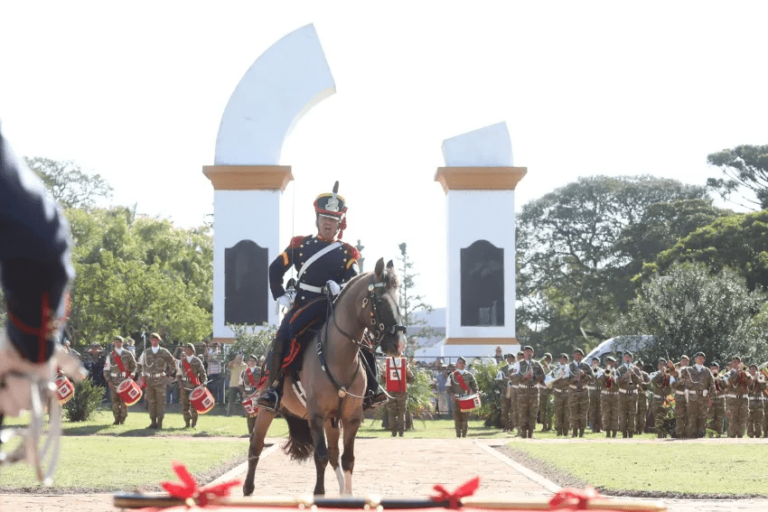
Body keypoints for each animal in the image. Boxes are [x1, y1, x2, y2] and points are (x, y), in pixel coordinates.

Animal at [243, 258, 404, 498]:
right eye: (381, 301)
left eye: (398, 299)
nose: (398, 344)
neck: (338, 357)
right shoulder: (316, 415)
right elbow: (320, 456)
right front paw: (319, 492)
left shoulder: (351, 417)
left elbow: (347, 459)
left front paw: (348, 494)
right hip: (267, 409)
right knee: (256, 443)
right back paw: (248, 488)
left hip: (332, 420)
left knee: (334, 454)